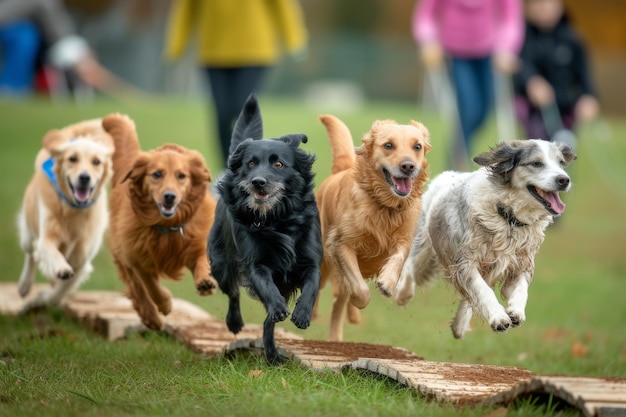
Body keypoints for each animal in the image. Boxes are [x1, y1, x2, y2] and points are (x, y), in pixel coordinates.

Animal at [17, 118, 114, 310]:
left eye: (96, 161)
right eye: (72, 158)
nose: (84, 177)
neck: (75, 210)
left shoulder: (82, 260)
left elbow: (60, 292)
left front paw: (46, 297)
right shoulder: (46, 237)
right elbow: (50, 253)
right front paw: (61, 269)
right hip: (28, 231)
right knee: (30, 253)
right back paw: (24, 285)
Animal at [103, 113, 217, 328]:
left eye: (182, 176)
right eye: (157, 174)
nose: (169, 197)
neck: (168, 227)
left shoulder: (197, 241)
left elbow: (202, 260)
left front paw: (205, 281)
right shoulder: (136, 258)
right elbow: (151, 287)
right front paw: (165, 304)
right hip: (122, 256)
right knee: (137, 289)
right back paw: (151, 318)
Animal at [207, 92, 322, 362]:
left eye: (278, 164)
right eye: (250, 163)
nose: (257, 182)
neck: (277, 218)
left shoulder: (311, 259)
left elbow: (312, 284)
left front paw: (302, 313)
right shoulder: (255, 263)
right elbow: (267, 287)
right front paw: (279, 306)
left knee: (267, 323)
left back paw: (272, 355)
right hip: (220, 264)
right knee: (233, 292)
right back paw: (235, 323)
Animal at [316, 114, 428, 342]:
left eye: (417, 146)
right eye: (388, 145)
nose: (408, 166)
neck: (385, 206)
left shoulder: (404, 239)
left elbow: (398, 259)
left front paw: (387, 283)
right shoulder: (341, 243)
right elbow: (360, 289)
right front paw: (359, 300)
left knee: (338, 304)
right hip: (322, 260)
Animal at [394, 139, 576, 338]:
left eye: (560, 162)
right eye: (536, 163)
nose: (564, 180)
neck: (508, 218)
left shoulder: (519, 264)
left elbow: (520, 290)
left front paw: (516, 312)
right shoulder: (466, 262)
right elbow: (482, 290)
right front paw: (499, 318)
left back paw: (459, 326)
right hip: (424, 248)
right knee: (410, 265)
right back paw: (400, 292)